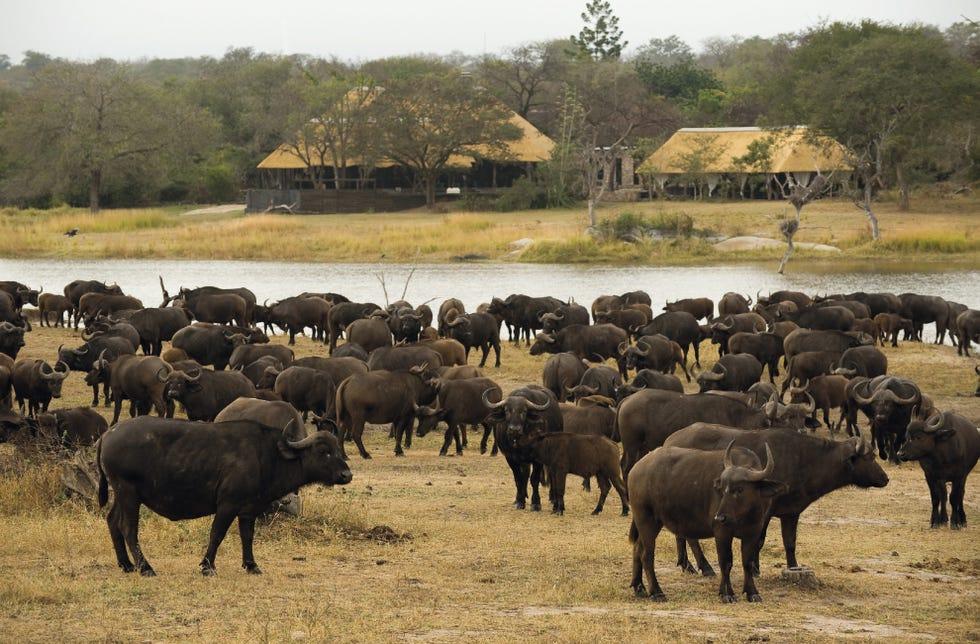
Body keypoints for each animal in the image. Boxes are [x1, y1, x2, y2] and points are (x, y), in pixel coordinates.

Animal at [97, 417, 351, 576]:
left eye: (338, 450)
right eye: (324, 452)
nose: (346, 475)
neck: (267, 455)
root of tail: (108, 435)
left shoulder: (249, 510)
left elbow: (247, 536)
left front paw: (251, 565)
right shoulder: (227, 505)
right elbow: (217, 534)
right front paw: (207, 566)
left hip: (122, 495)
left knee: (112, 521)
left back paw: (126, 564)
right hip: (128, 493)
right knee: (128, 528)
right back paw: (145, 567)